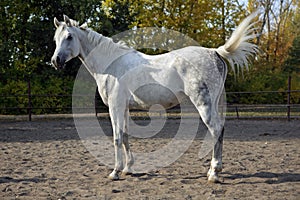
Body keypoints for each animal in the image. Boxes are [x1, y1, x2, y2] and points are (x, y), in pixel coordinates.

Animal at [51, 12, 258, 183]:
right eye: (56, 38)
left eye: (69, 36)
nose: (55, 61)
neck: (112, 65)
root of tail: (214, 52)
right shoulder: (124, 108)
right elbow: (125, 136)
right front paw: (128, 168)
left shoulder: (115, 107)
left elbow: (117, 137)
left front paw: (115, 172)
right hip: (214, 104)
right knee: (220, 130)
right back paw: (215, 169)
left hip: (204, 105)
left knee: (215, 130)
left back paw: (213, 174)